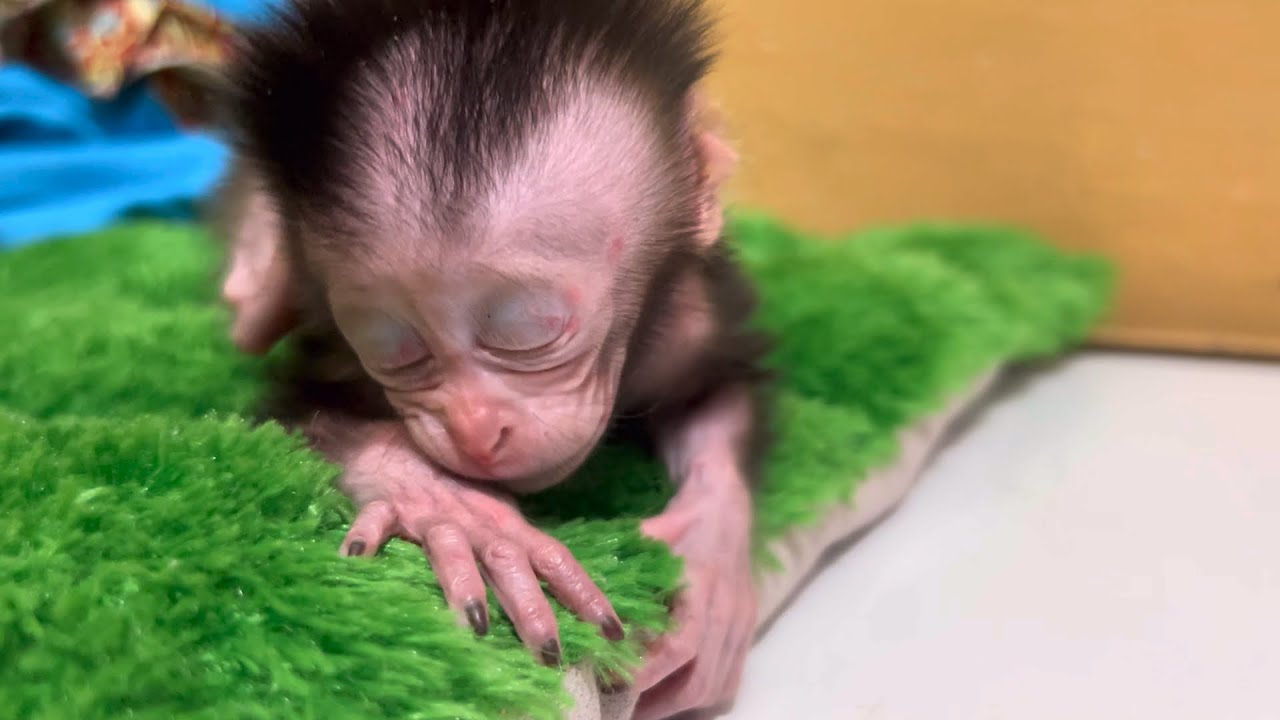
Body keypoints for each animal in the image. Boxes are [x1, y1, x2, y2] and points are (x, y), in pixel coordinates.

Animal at [215, 1, 772, 717]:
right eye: (397, 353)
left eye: (528, 335)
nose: (476, 430)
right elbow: (290, 410)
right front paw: (449, 504)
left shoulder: (688, 325)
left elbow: (718, 397)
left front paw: (711, 560)